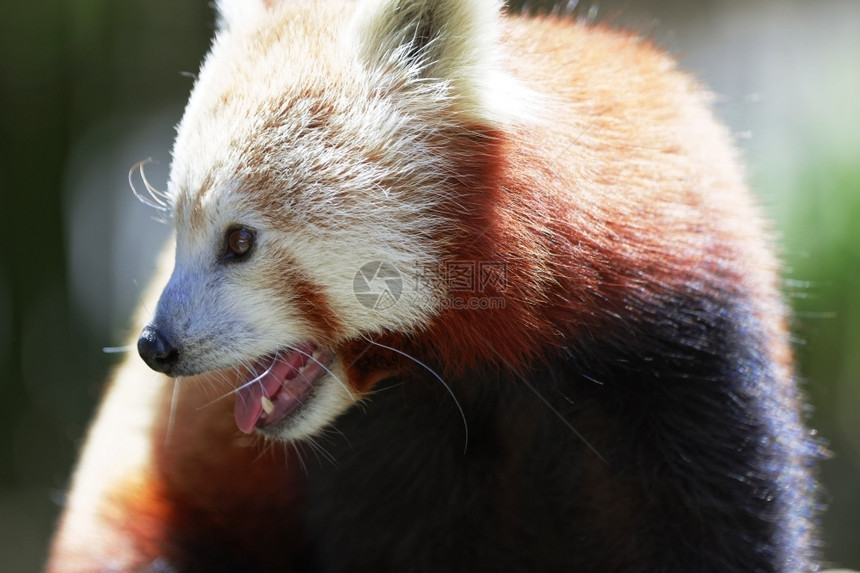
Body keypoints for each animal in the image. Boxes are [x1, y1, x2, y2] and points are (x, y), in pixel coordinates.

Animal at [45, 0, 820, 568]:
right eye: (178, 233)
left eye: (239, 241)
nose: (155, 345)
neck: (498, 360)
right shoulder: (387, 446)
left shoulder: (684, 352)